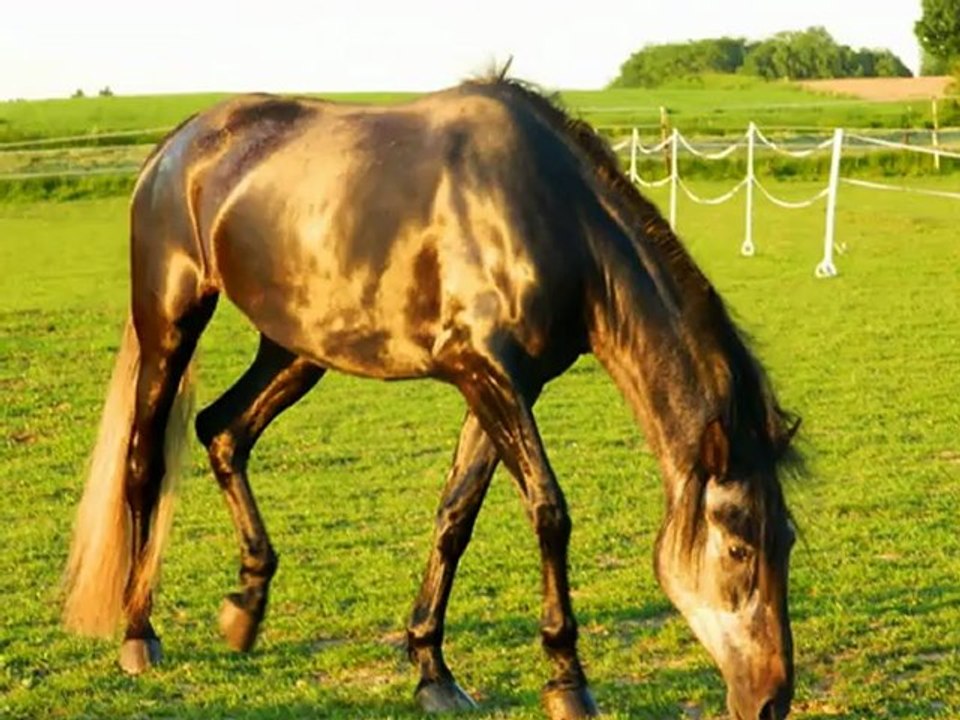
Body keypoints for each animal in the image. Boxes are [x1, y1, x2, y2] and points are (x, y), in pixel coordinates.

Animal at [62, 75, 800, 720]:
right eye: (738, 548)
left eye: (787, 540)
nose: (771, 700)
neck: (551, 218)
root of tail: (177, 145)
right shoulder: (487, 374)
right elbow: (550, 514)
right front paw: (567, 681)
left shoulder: (503, 386)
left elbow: (455, 516)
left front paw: (431, 670)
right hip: (170, 322)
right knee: (144, 461)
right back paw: (138, 632)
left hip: (297, 350)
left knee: (223, 430)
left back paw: (245, 606)